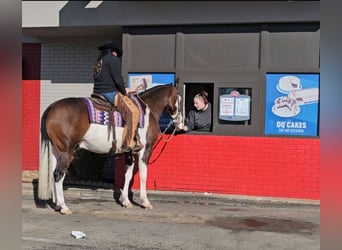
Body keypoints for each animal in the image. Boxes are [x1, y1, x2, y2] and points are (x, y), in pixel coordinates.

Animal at [38, 84, 183, 215]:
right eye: (179, 99)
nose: (180, 123)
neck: (148, 111)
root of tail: (51, 107)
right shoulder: (145, 151)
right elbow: (143, 175)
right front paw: (145, 202)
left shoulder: (129, 152)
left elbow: (128, 175)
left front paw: (125, 201)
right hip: (66, 152)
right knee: (59, 175)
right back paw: (64, 207)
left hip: (56, 151)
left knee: (53, 174)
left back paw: (57, 205)